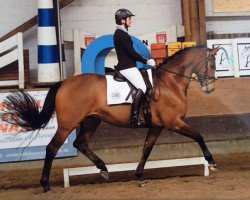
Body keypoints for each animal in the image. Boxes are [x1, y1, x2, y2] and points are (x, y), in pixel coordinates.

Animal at [1, 45, 218, 192]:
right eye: (212, 63)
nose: (210, 89)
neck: (169, 82)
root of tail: (64, 82)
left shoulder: (157, 126)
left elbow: (146, 149)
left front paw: (139, 175)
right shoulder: (173, 123)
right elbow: (198, 136)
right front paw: (211, 161)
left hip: (92, 121)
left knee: (81, 143)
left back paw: (103, 168)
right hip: (67, 125)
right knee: (52, 148)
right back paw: (45, 185)